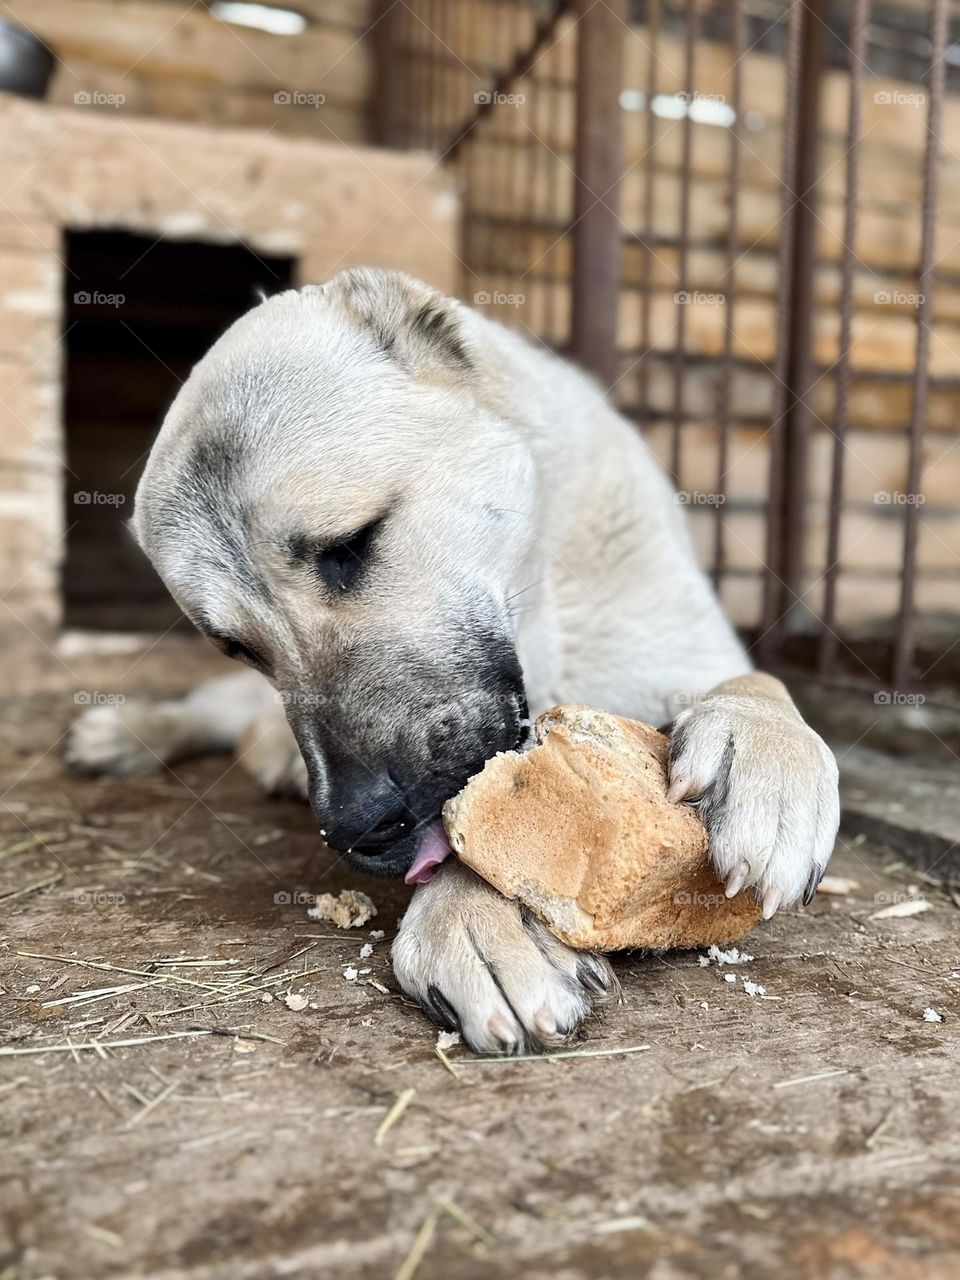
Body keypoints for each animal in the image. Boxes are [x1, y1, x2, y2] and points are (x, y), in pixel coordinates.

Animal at [65, 267, 839, 1049]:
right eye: (236, 645)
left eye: (351, 544)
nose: (357, 828)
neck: (540, 605)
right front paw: (477, 916)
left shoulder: (684, 647)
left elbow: (757, 681)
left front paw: (765, 753)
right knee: (213, 712)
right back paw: (128, 732)